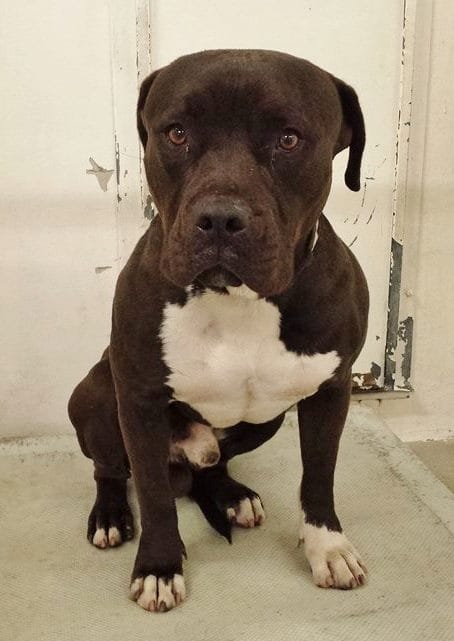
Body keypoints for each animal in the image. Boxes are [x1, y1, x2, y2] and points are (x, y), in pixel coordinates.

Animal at [68, 49, 368, 612]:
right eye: (177, 133)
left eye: (289, 138)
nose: (221, 219)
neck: (238, 300)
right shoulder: (138, 400)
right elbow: (155, 498)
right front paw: (159, 567)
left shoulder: (331, 391)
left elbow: (320, 476)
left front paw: (328, 547)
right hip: (94, 395)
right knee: (112, 469)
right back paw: (112, 514)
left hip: (266, 419)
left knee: (213, 466)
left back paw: (232, 495)